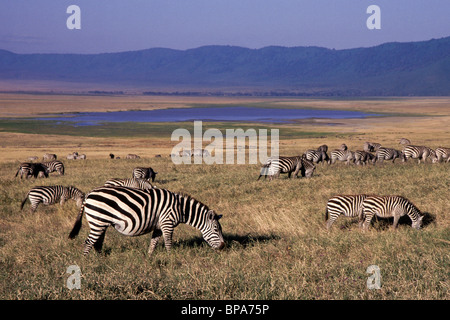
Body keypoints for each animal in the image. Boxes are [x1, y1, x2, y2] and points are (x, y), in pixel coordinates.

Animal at [68, 185, 225, 255]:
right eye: (216, 229)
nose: (223, 246)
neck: (181, 209)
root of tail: (89, 195)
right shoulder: (167, 223)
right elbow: (168, 242)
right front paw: (171, 257)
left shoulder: (159, 226)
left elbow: (153, 242)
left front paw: (149, 258)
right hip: (97, 221)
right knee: (88, 242)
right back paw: (87, 262)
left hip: (101, 223)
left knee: (97, 242)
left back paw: (101, 258)